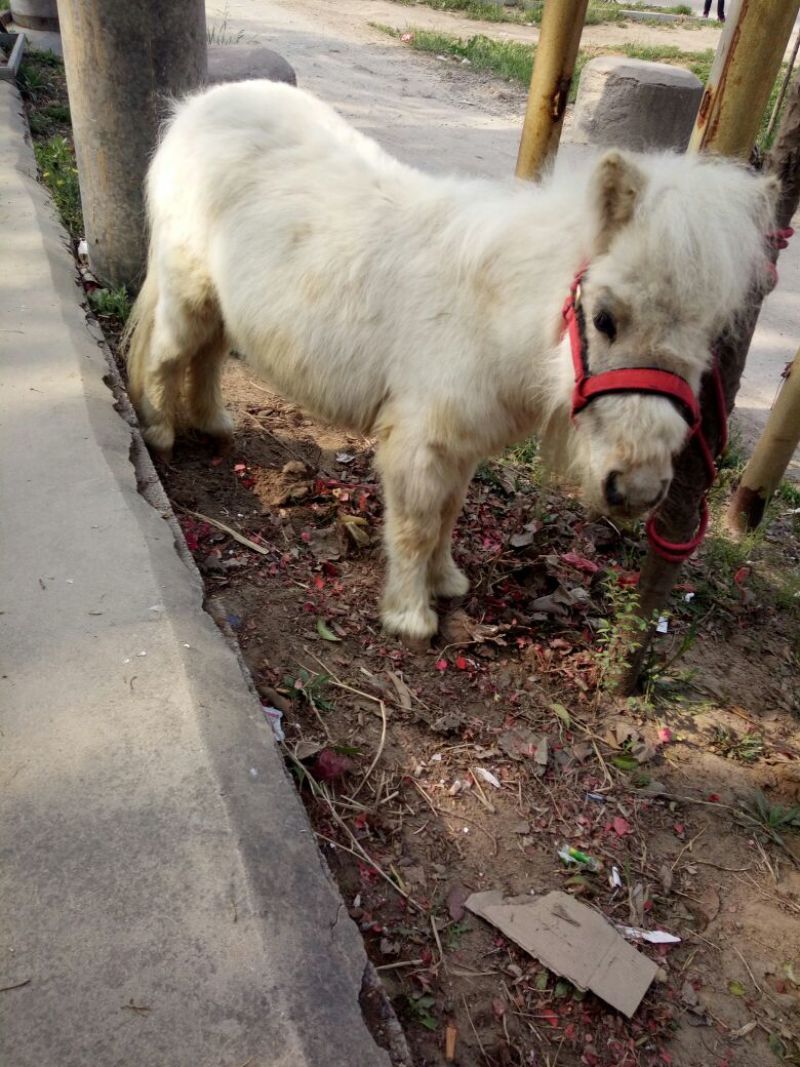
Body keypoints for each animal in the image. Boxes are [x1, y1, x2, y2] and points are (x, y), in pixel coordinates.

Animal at [125, 80, 776, 641]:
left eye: (710, 335)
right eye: (605, 319)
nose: (637, 489)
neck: (492, 311)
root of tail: (197, 107)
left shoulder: (461, 447)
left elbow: (448, 516)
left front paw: (447, 583)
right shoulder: (422, 444)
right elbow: (416, 525)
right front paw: (411, 617)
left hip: (220, 306)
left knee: (207, 358)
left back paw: (213, 425)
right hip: (187, 293)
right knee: (166, 357)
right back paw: (159, 434)